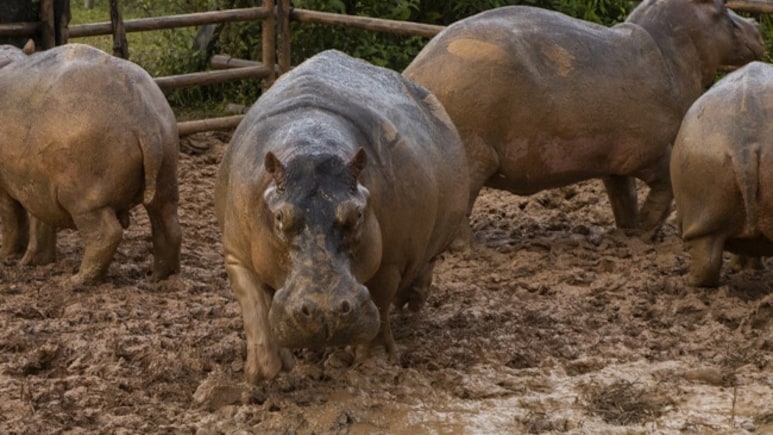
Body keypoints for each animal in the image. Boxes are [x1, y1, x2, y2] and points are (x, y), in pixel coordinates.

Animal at [0, 43, 181, 284]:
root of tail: (143, 119)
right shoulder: (37, 184)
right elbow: (40, 223)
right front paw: (34, 261)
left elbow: (12, 220)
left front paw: (6, 256)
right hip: (166, 171)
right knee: (168, 224)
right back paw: (158, 277)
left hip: (84, 198)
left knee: (106, 234)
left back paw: (76, 280)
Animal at [215, 49, 469, 383]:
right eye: (280, 217)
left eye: (358, 213)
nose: (326, 311)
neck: (311, 145)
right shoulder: (237, 254)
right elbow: (255, 307)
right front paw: (267, 373)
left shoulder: (390, 260)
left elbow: (380, 302)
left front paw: (374, 364)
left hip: (433, 239)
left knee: (423, 266)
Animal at [403, 0, 764, 238]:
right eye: (721, 5)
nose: (759, 26)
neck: (670, 52)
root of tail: (413, 73)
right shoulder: (649, 149)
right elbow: (665, 185)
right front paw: (645, 233)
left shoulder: (615, 160)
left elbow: (623, 196)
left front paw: (627, 233)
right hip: (472, 154)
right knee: (459, 209)